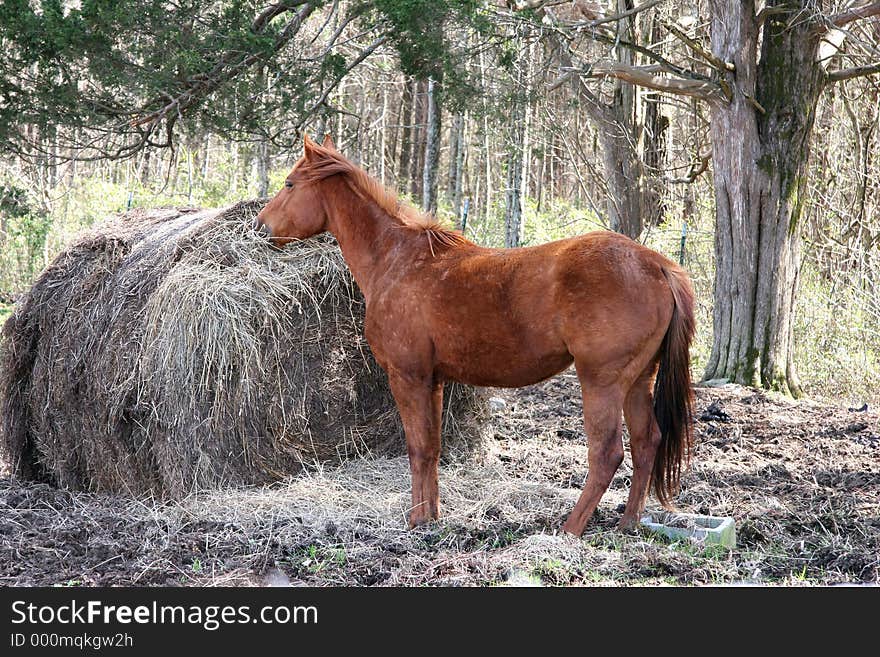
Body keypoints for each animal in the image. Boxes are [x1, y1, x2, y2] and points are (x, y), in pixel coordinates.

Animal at [254, 136, 696, 536]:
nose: (260, 228)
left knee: (607, 454)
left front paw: (416, 520)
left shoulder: (408, 376)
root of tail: (657, 265)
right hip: (637, 382)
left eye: (290, 184)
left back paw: (570, 529)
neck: (397, 259)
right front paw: (431, 517)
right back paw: (627, 524)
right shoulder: (432, 380)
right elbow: (432, 448)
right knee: (646, 443)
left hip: (601, 382)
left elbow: (416, 447)